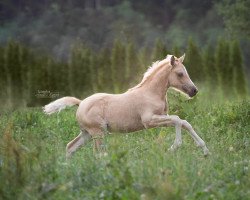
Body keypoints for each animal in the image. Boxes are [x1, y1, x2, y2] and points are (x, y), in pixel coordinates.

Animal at [44, 54, 210, 157]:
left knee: (70, 147)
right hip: (98, 132)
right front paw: (174, 147)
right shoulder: (149, 121)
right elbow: (177, 120)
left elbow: (184, 122)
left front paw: (205, 150)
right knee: (97, 154)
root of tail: (81, 103)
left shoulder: (162, 117)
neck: (151, 93)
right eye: (180, 74)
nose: (194, 91)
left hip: (87, 133)